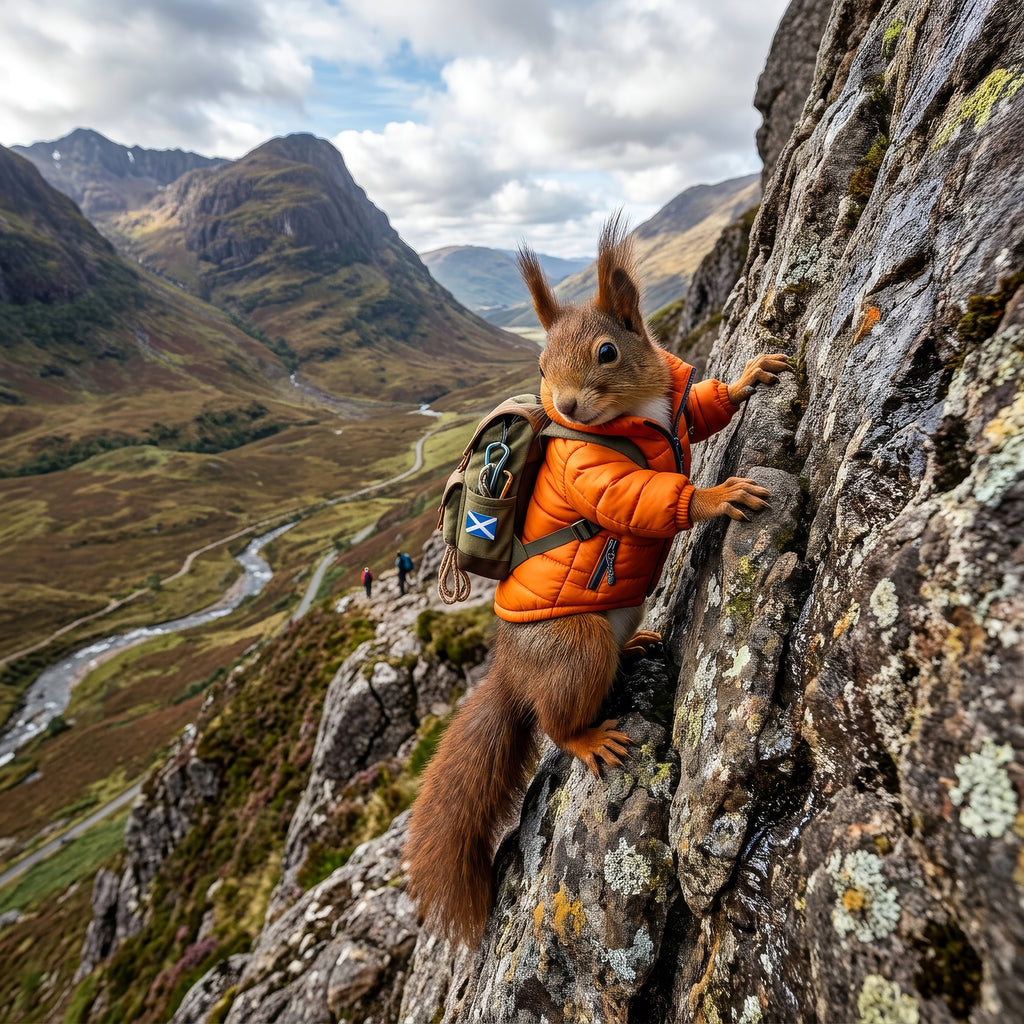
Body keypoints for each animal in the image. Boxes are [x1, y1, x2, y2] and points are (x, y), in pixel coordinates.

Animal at [405, 215, 790, 946]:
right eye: (539, 366)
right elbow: (638, 497)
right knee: (556, 722)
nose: (566, 403)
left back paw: (636, 646)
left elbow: (702, 408)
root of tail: (513, 671)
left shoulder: (676, 403)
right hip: (574, 647)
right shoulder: (590, 468)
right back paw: (590, 738)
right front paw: (715, 496)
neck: (639, 410)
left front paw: (750, 375)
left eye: (608, 351)